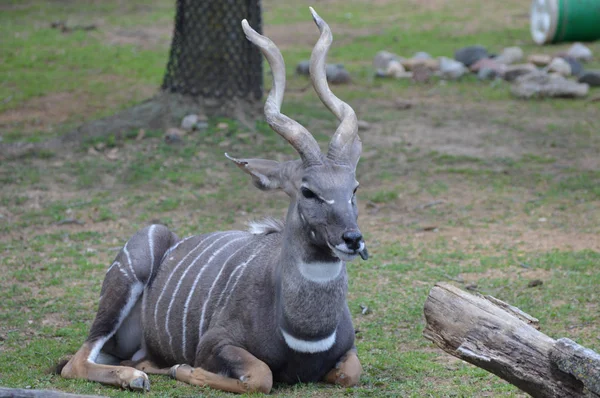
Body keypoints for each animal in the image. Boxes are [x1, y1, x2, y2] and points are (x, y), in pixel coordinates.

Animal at [59, 7, 366, 394]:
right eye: (308, 191)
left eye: (353, 188)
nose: (353, 239)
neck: (304, 333)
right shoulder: (215, 342)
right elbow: (260, 376)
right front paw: (183, 369)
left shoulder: (349, 351)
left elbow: (350, 373)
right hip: (132, 268)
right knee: (75, 362)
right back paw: (137, 377)